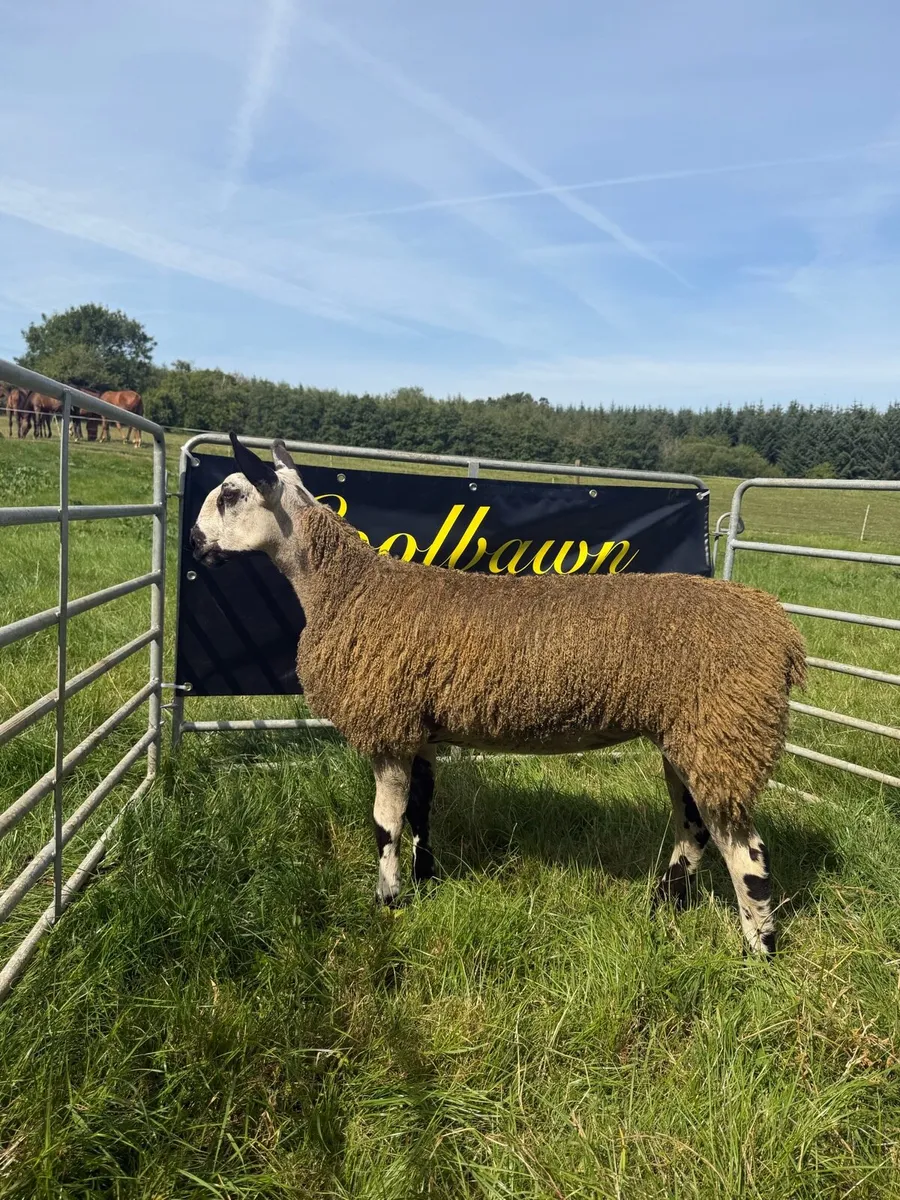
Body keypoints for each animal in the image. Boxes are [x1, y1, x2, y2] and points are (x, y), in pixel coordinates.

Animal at [189, 435, 807, 956]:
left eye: (231, 493)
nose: (194, 544)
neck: (346, 587)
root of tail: (781, 632)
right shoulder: (420, 727)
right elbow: (422, 809)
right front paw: (426, 880)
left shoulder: (388, 724)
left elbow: (385, 824)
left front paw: (387, 902)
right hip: (692, 735)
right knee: (695, 828)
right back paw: (663, 904)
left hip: (723, 729)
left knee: (747, 851)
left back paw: (760, 952)